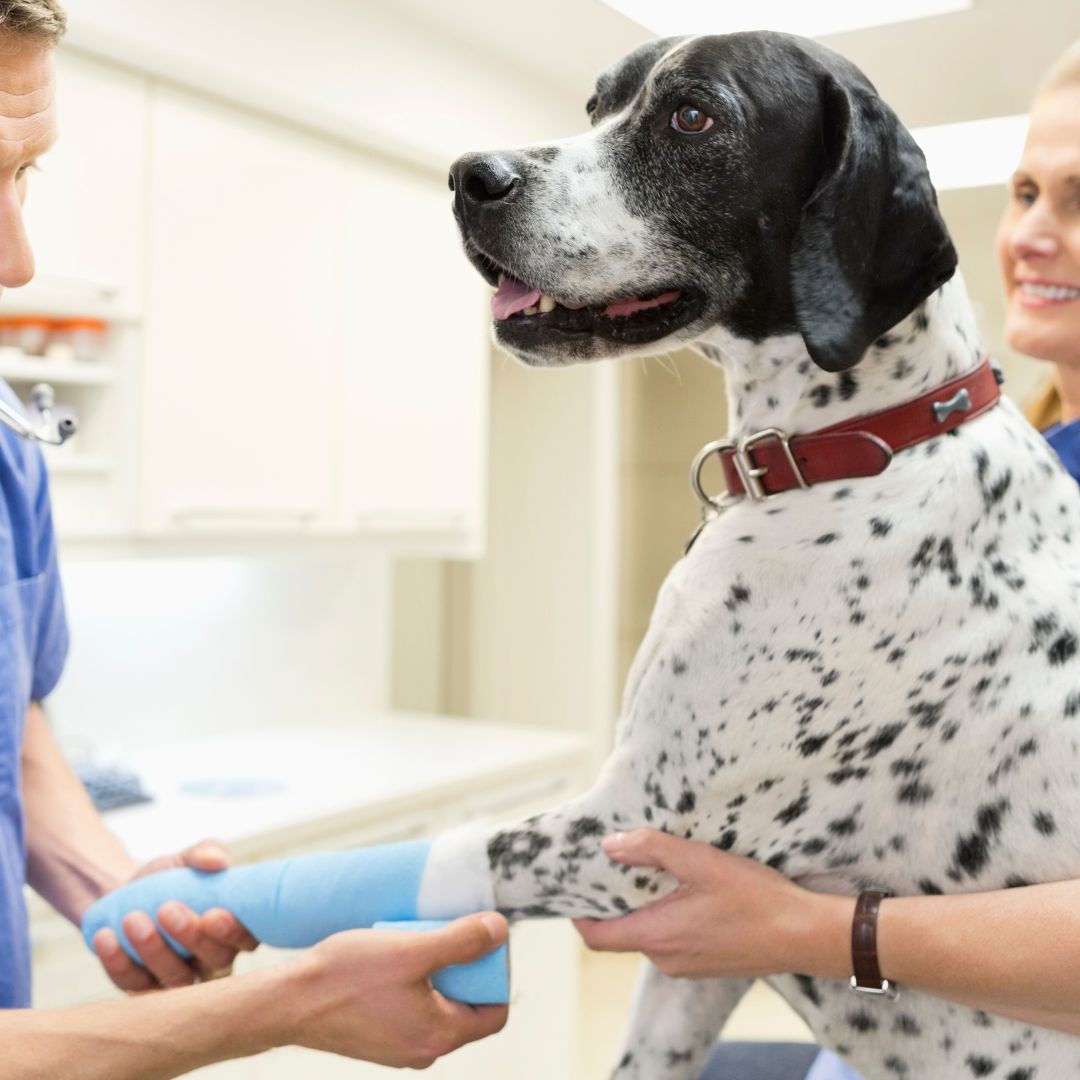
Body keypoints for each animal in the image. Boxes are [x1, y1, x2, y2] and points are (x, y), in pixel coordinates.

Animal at [423, 29, 1080, 1075]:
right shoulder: (692, 968)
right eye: (596, 105)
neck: (858, 445)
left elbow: (441, 856)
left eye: (693, 116)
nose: (467, 175)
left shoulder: (632, 837)